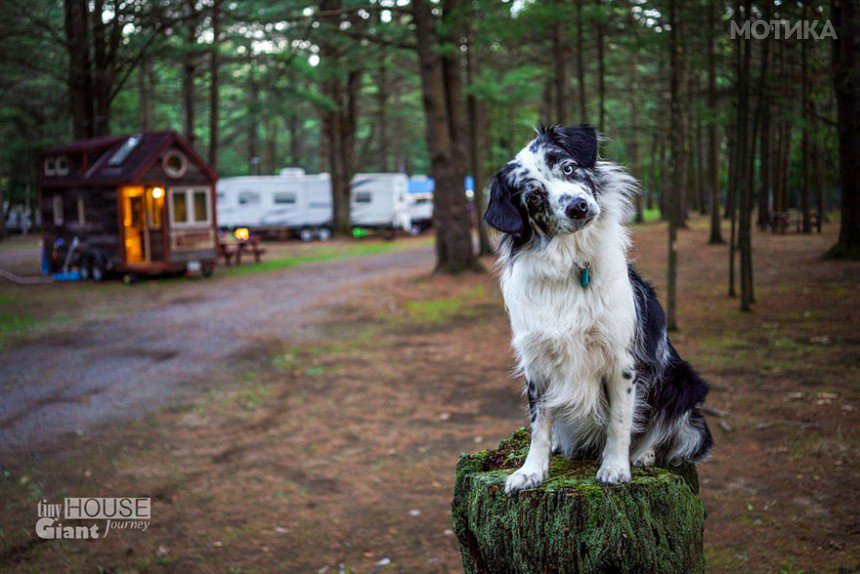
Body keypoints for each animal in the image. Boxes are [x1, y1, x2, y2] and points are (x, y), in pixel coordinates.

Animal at [484, 124, 712, 492]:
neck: (572, 267)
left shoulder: (621, 360)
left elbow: (619, 420)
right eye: (533, 198)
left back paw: (644, 455)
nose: (577, 207)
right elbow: (539, 423)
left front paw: (615, 467)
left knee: (671, 433)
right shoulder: (538, 362)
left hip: (684, 383)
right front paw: (532, 470)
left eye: (568, 167)